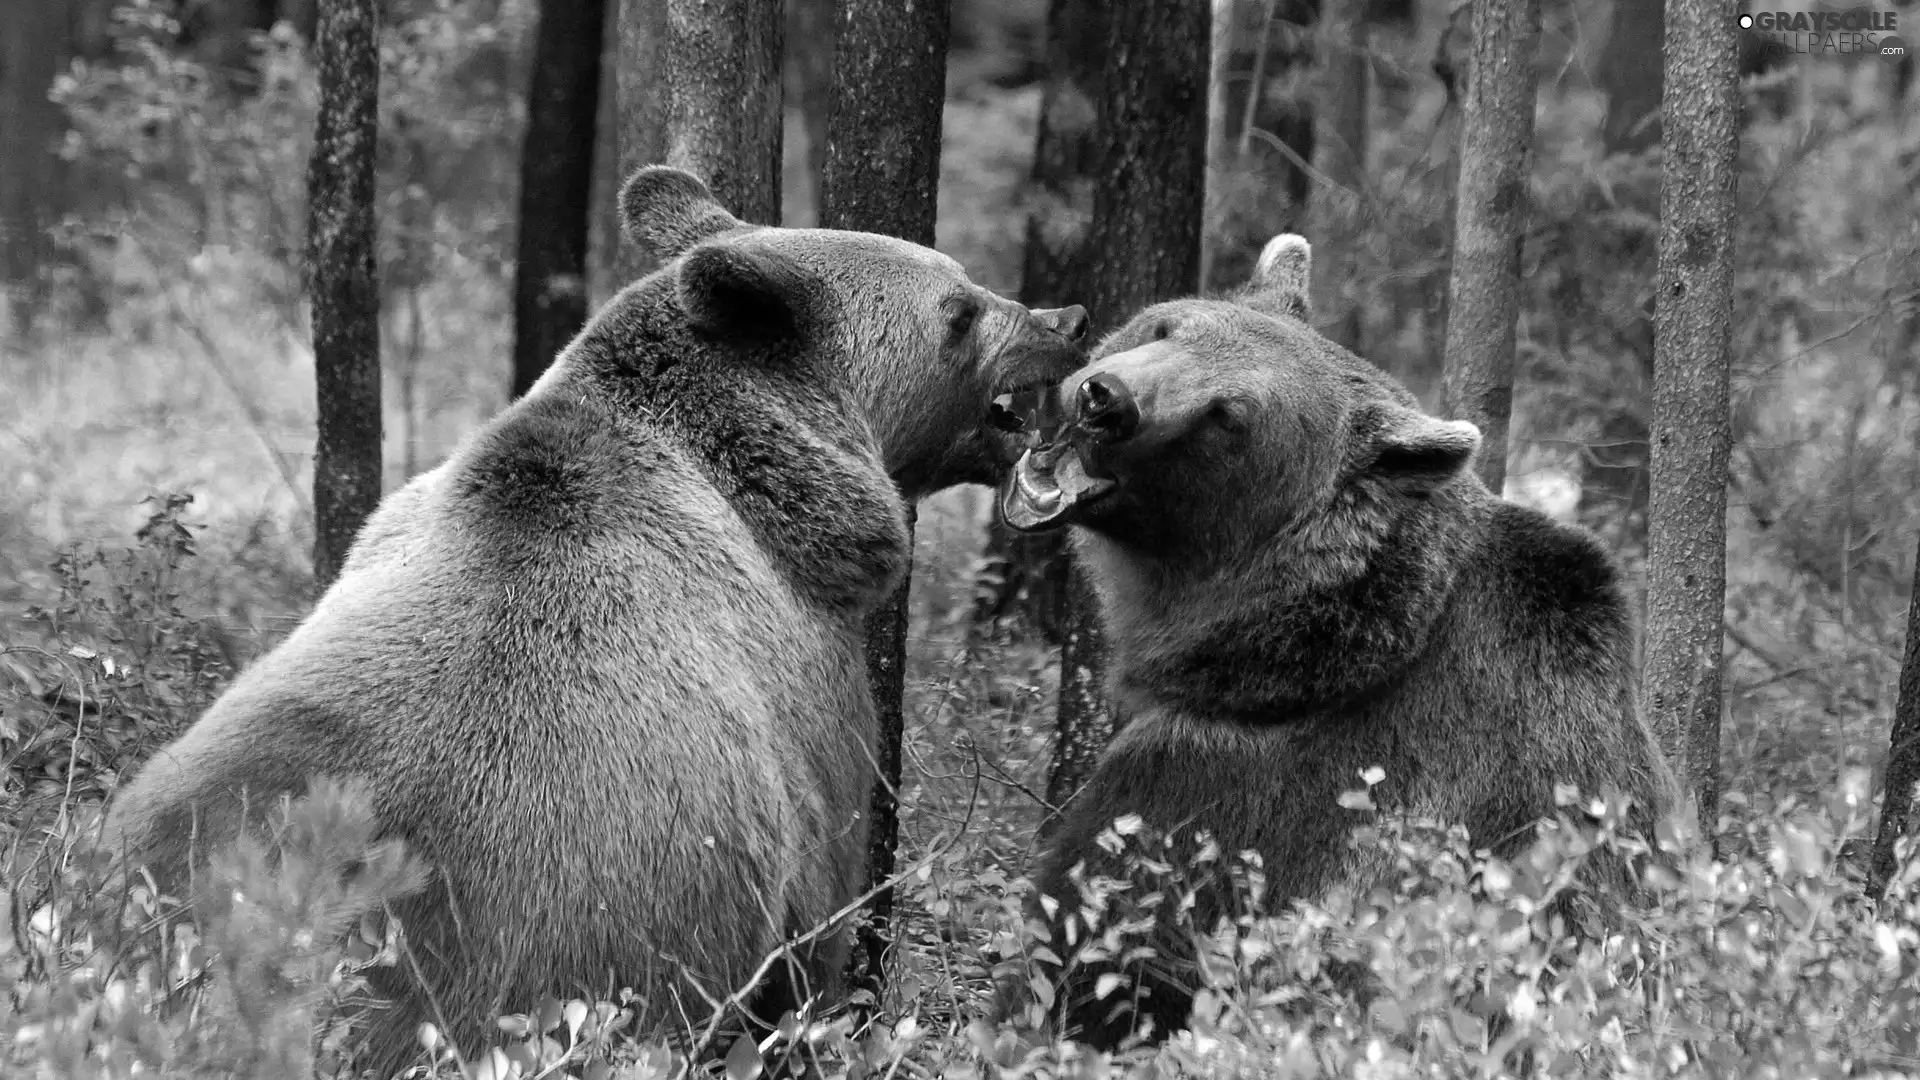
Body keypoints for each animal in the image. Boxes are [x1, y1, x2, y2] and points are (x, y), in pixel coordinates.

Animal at [105, 166, 1090, 1068]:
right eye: (958, 309)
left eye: (967, 283)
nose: (1068, 320)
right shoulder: (810, 720)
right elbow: (819, 925)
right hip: (527, 943)